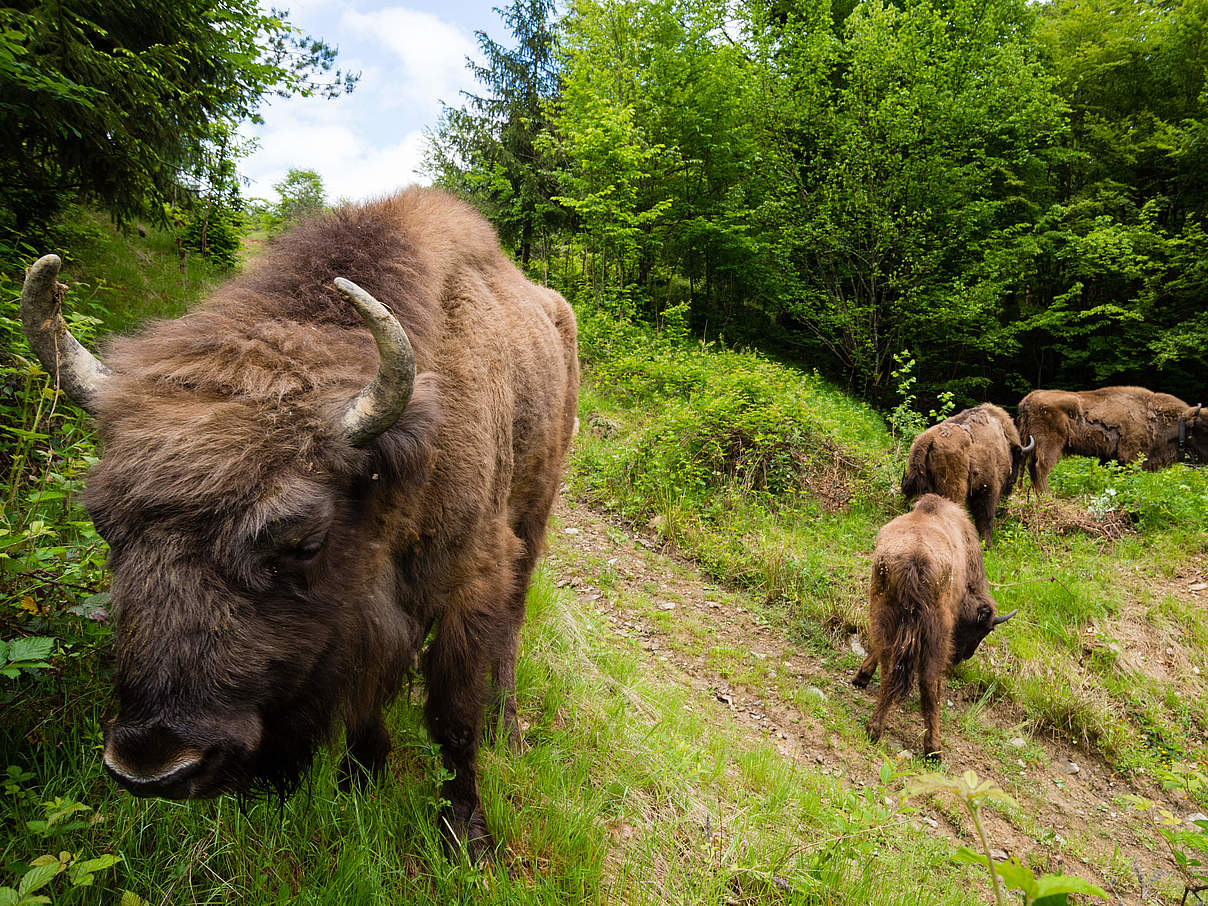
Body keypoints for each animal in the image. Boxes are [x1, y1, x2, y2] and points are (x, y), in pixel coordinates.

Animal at [20, 189, 579, 860]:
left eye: (303, 541)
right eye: (104, 524)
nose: (152, 765)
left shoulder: (473, 578)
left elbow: (454, 715)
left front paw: (466, 835)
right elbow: (371, 694)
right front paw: (359, 779)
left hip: (534, 514)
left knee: (512, 631)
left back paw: (509, 728)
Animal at [850, 497, 1019, 758]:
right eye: (982, 631)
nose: (964, 656)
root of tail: (915, 563)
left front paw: (861, 677)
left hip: (883, 612)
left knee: (890, 670)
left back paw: (874, 729)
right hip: (936, 633)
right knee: (929, 684)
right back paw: (934, 750)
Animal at [903, 405, 1034, 546]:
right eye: (1018, 458)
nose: (1013, 482)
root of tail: (928, 440)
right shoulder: (990, 489)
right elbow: (986, 516)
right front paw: (988, 543)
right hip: (954, 490)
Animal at [1019, 384, 1208, 497]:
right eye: (1203, 427)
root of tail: (1028, 399)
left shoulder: (1112, 458)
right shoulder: (1131, 456)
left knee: (1032, 467)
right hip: (1050, 445)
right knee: (1041, 467)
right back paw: (1047, 496)